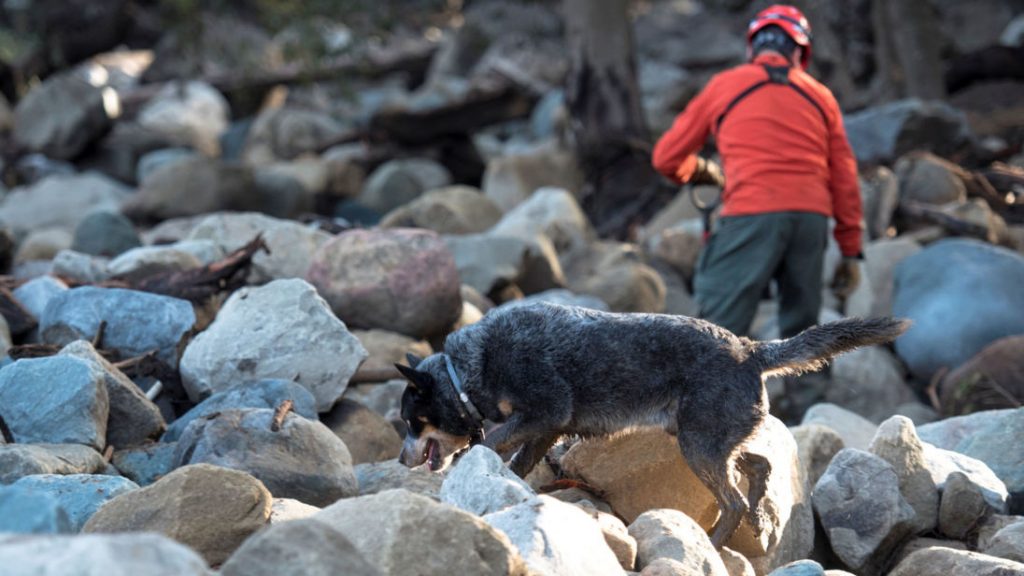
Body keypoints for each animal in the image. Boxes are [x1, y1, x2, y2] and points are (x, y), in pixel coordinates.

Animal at [395, 301, 909, 545]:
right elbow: (518, 460)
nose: (399, 460)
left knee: (732, 500)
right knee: (758, 465)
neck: (469, 370)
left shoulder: (547, 409)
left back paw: (713, 541)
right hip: (703, 435)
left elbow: (494, 439)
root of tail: (750, 350)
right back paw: (758, 516)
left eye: (410, 421)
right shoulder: (548, 428)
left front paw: (475, 456)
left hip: (697, 444)